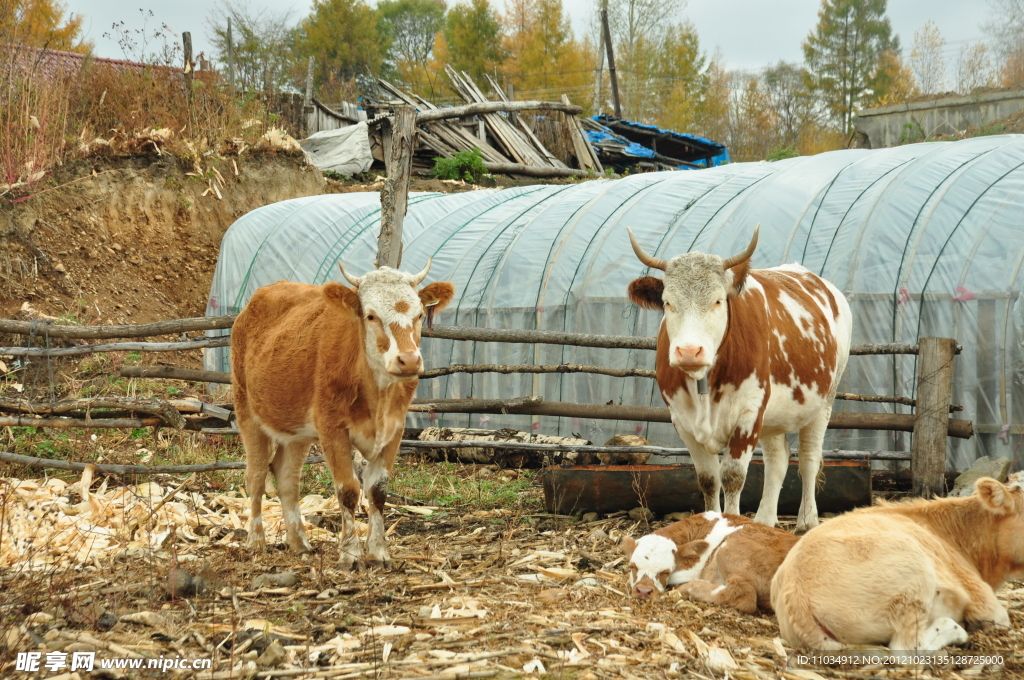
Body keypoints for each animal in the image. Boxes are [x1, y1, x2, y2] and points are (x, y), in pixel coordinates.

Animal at [234, 260, 458, 569]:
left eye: (420, 314)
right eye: (371, 315)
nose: (409, 360)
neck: (376, 395)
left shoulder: (395, 429)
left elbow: (377, 490)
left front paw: (378, 552)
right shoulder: (332, 428)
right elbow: (348, 491)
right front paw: (350, 555)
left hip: (296, 431)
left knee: (287, 477)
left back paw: (299, 542)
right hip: (247, 411)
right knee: (255, 477)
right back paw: (256, 541)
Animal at [614, 510, 798, 614]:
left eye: (665, 572)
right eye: (632, 567)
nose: (644, 591)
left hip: (731, 549)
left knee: (744, 596)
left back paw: (689, 588)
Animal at [626, 228, 851, 536]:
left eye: (718, 300)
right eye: (668, 302)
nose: (689, 352)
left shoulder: (748, 414)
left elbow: (732, 476)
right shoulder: (682, 421)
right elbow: (708, 479)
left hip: (824, 401)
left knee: (808, 458)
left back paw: (806, 521)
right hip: (773, 416)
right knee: (777, 460)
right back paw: (765, 520)